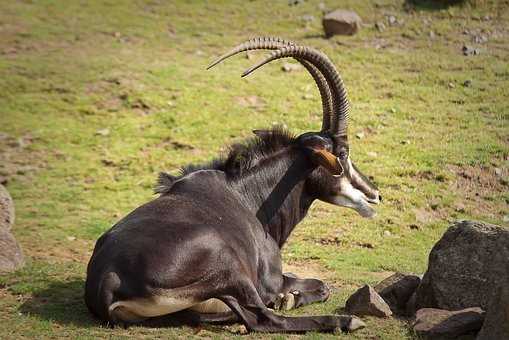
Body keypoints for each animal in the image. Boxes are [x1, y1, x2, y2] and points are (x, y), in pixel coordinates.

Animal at [84, 35, 378, 334]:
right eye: (342, 153)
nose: (374, 194)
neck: (249, 197)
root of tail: (108, 280)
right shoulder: (270, 280)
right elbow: (320, 286)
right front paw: (289, 298)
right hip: (229, 267)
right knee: (262, 318)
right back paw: (345, 320)